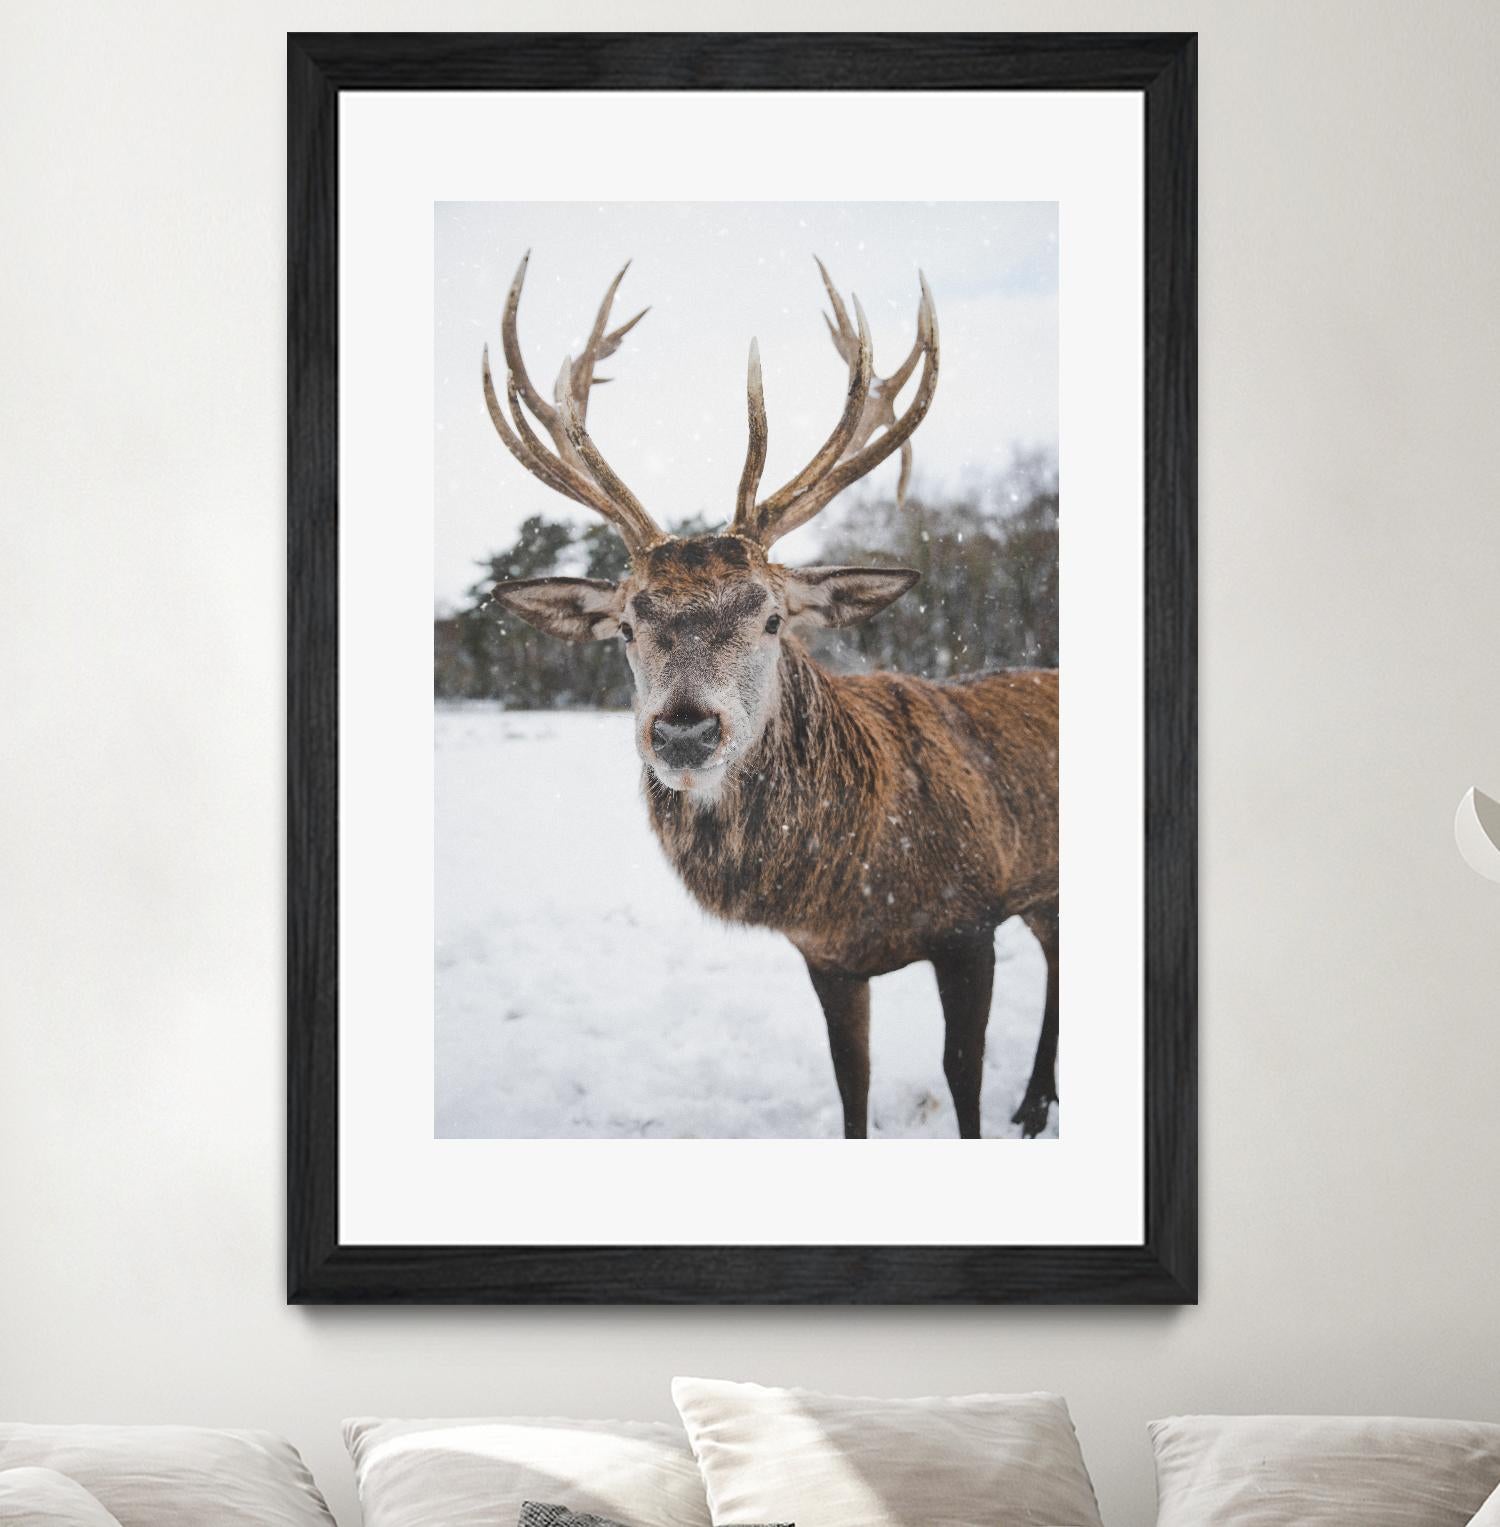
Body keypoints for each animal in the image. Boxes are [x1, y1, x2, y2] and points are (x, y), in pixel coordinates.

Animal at [481, 253, 1059, 1139]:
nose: (684, 732)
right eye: (626, 625)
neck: (859, 881)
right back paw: (1034, 1100)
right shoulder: (826, 958)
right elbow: (852, 1085)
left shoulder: (971, 919)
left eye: (773, 616)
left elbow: (961, 1080)